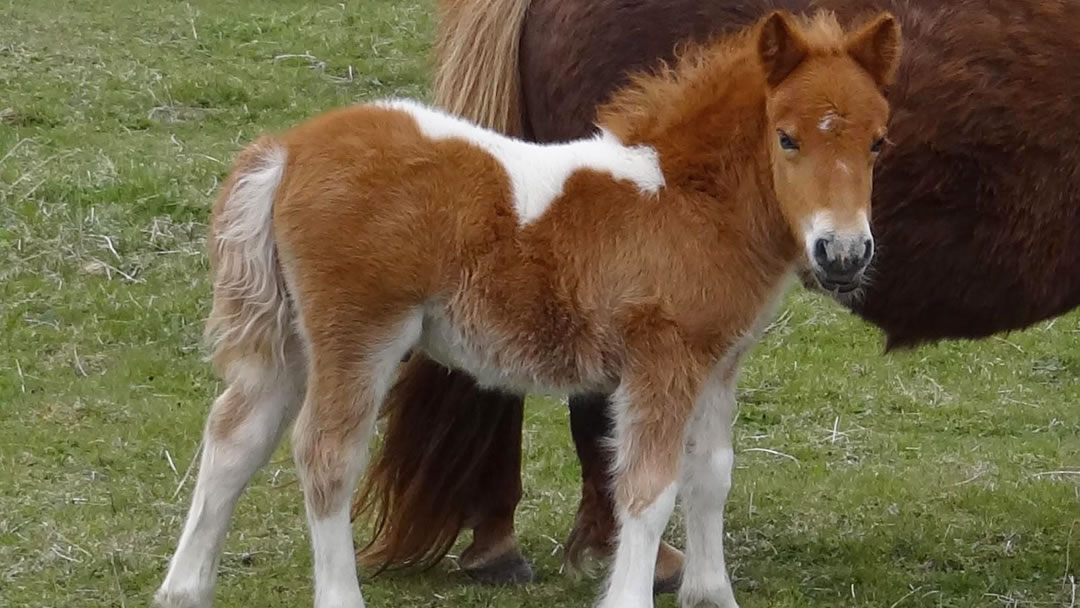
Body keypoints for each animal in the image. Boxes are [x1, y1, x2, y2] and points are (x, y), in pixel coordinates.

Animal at [157, 9, 902, 608]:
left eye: (877, 142)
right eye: (787, 137)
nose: (843, 253)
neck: (684, 201)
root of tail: (286, 150)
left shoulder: (717, 362)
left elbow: (710, 475)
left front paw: (712, 596)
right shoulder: (660, 359)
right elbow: (649, 486)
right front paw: (632, 596)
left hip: (290, 336)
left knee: (234, 438)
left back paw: (184, 590)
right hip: (358, 331)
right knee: (326, 453)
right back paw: (338, 596)